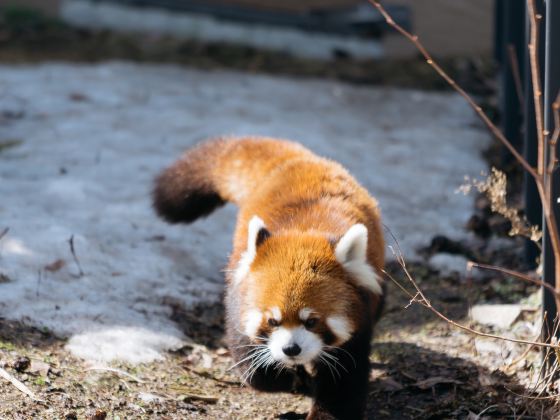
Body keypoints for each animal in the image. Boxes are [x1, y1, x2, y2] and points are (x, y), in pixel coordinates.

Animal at [153, 136, 384, 418]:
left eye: (312, 321)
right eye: (273, 321)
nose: (291, 349)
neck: (304, 232)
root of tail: (299, 161)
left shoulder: (357, 324)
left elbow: (343, 383)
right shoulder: (239, 303)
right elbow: (251, 365)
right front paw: (288, 379)